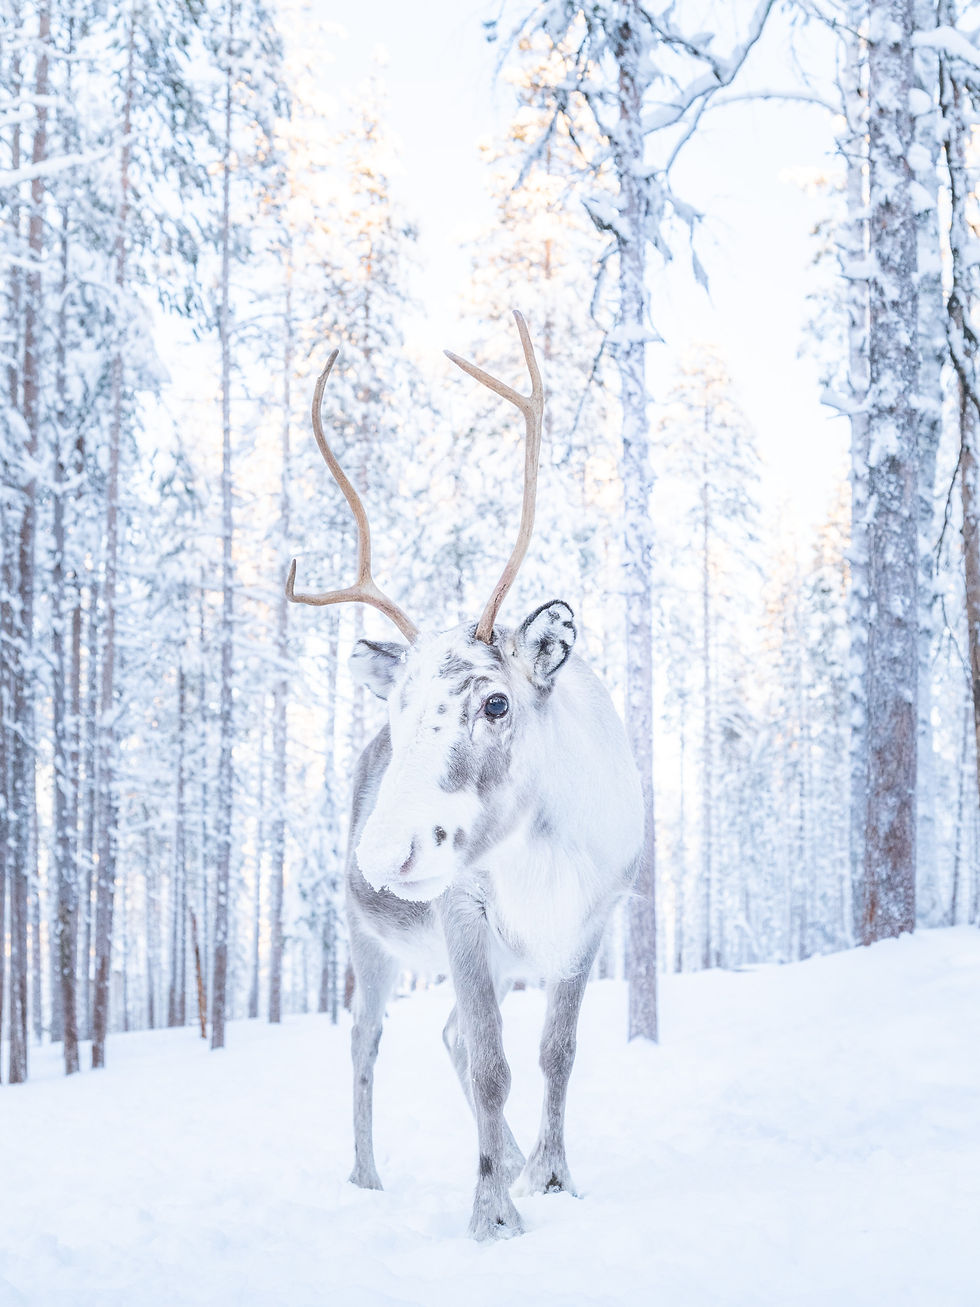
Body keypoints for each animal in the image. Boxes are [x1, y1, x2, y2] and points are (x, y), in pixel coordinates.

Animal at [286, 311, 644, 1240]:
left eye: (495, 700)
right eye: (396, 709)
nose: (382, 851)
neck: (540, 852)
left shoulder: (593, 918)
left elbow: (556, 1052)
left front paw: (550, 1174)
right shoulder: (461, 911)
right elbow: (491, 1063)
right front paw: (491, 1213)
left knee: (444, 1032)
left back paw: (512, 1158)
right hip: (367, 942)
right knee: (368, 1043)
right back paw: (368, 1176)